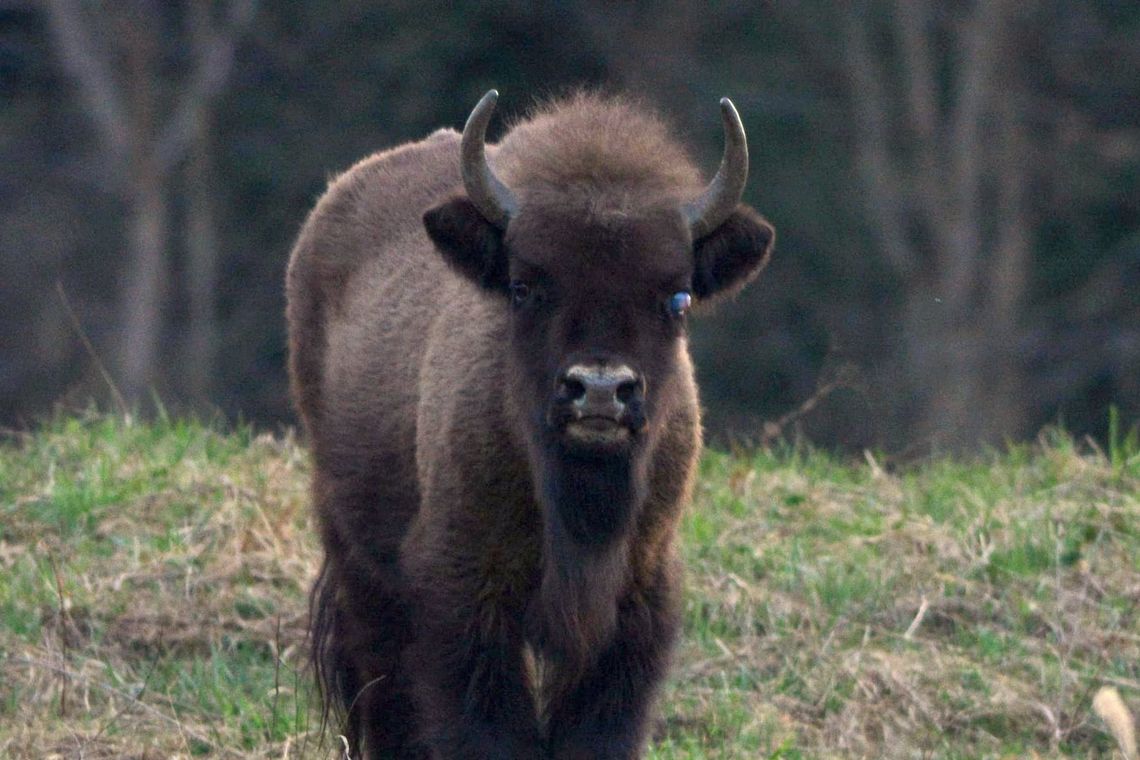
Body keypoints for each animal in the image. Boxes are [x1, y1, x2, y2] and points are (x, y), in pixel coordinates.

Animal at [287, 92, 775, 756]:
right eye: (523, 287)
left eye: (677, 297)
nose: (600, 391)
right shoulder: (464, 598)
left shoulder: (635, 606)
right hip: (356, 556)